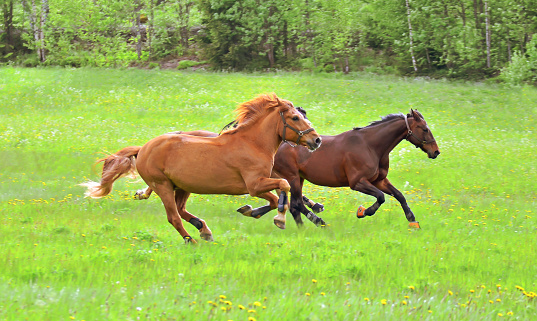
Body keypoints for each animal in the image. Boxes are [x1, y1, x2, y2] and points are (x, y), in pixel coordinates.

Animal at [81, 94, 320, 244]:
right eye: (295, 117)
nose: (316, 140)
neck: (252, 143)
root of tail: (143, 149)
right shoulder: (254, 185)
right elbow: (284, 186)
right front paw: (280, 219)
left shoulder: (261, 183)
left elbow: (277, 196)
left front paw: (253, 211)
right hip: (162, 185)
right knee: (173, 217)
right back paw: (191, 240)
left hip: (182, 186)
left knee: (180, 210)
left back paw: (203, 229)